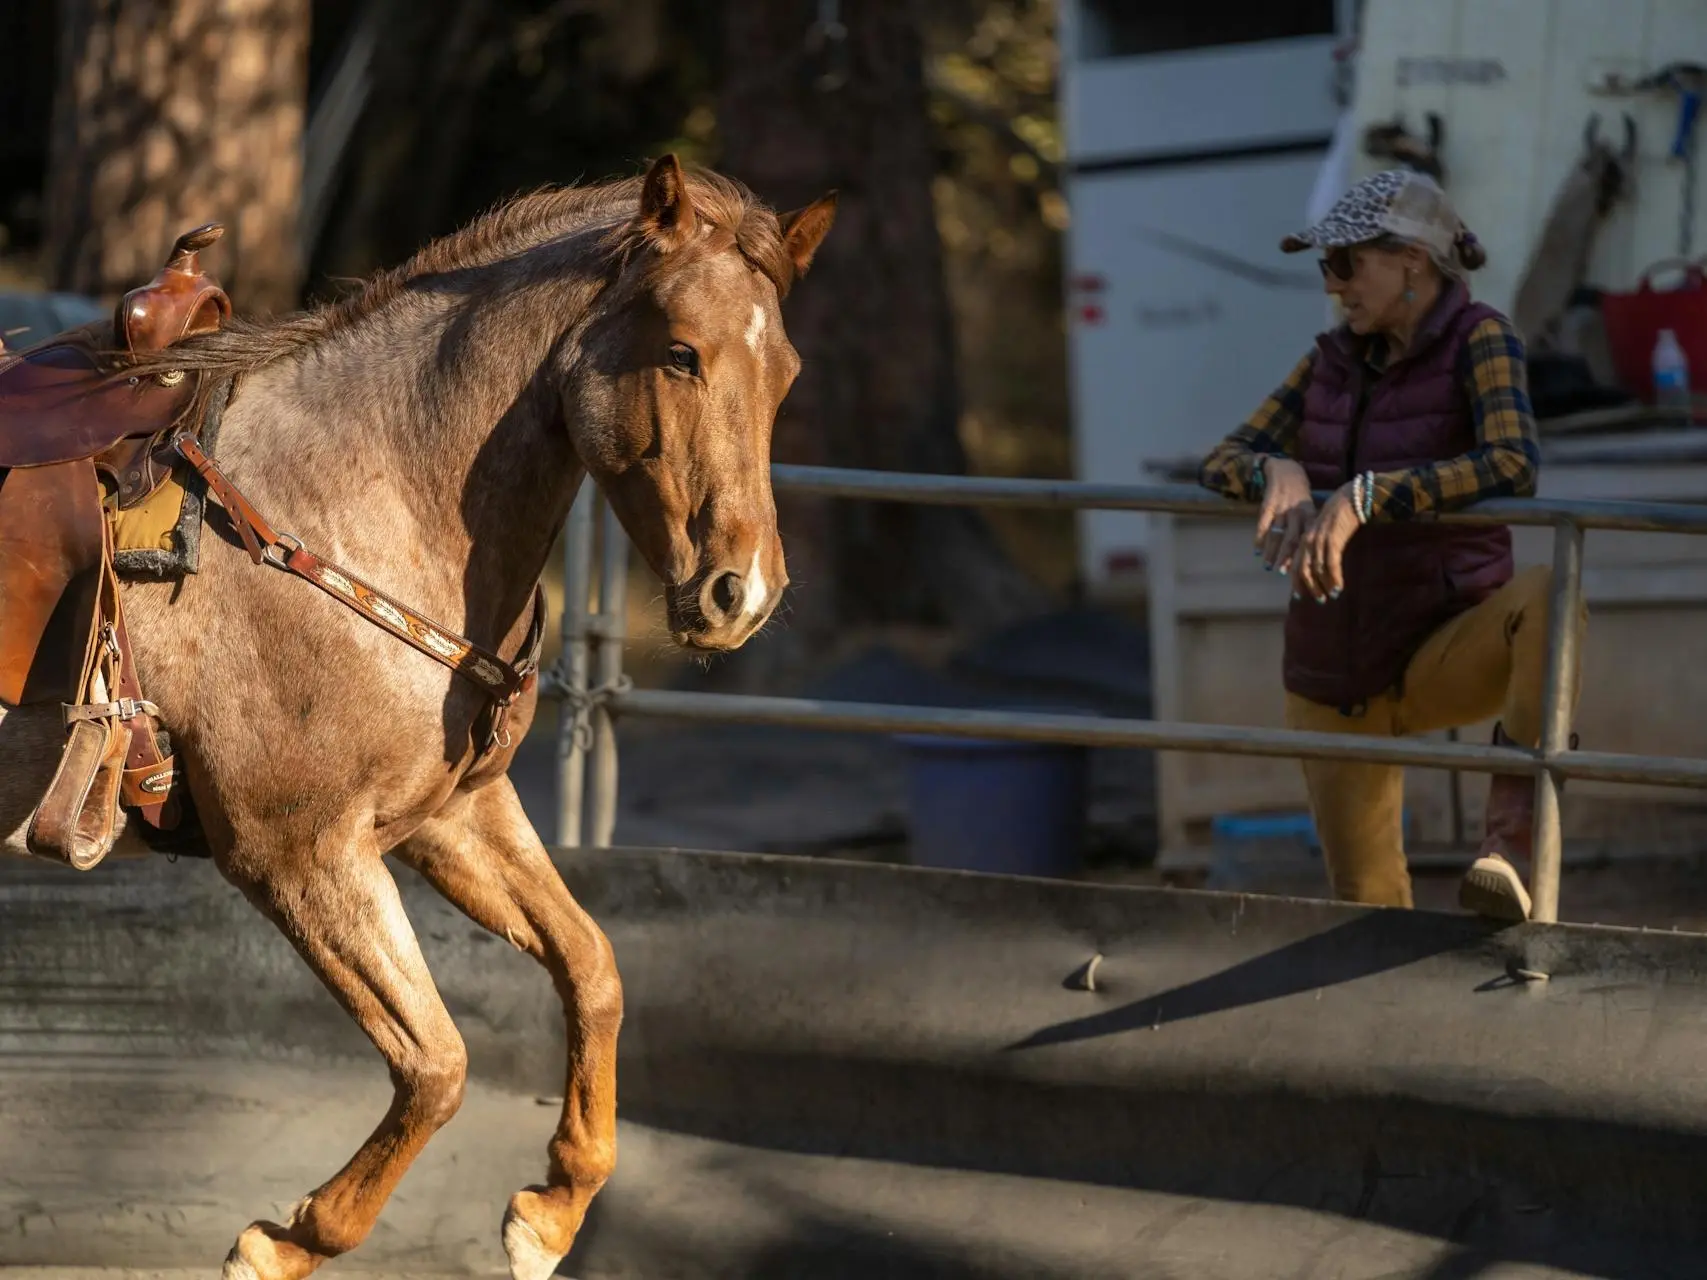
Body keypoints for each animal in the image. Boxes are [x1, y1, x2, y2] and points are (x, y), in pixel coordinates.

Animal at [0, 155, 833, 1276]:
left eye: (783, 371)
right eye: (681, 352)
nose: (741, 593)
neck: (357, 502)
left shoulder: (451, 814)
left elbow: (593, 967)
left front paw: (553, 1208)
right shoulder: (297, 855)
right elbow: (437, 1062)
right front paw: (284, 1241)